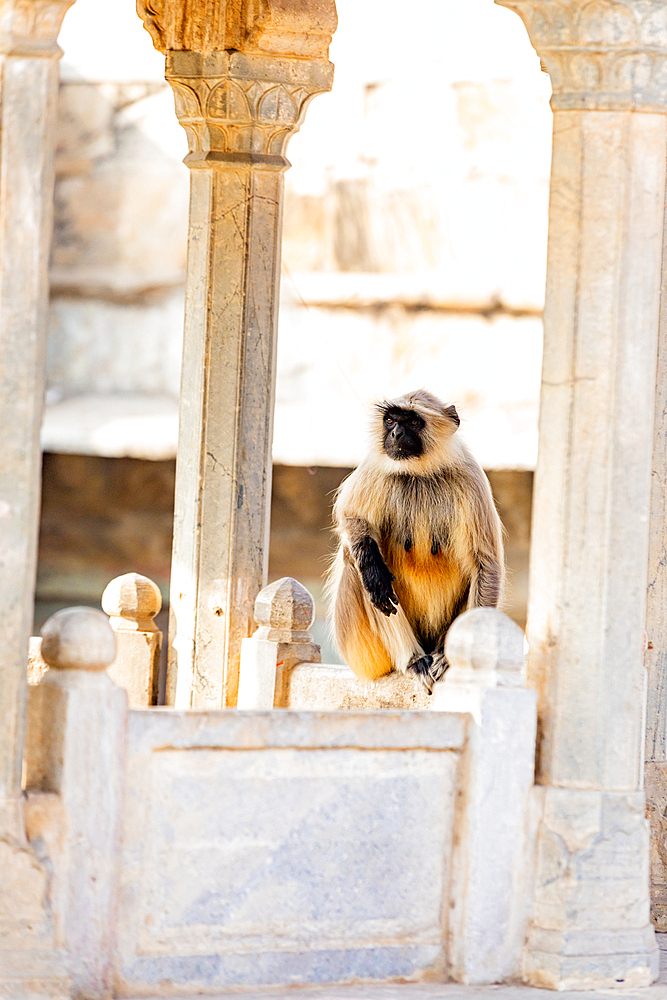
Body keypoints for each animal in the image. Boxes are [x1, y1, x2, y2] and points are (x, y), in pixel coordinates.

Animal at [326, 390, 504, 696]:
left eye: (412, 421)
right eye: (390, 420)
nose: (396, 433)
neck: (419, 473)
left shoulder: (470, 476)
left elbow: (485, 566)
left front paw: (452, 660)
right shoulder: (375, 464)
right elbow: (351, 518)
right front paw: (374, 574)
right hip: (362, 654)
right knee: (354, 558)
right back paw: (413, 660)